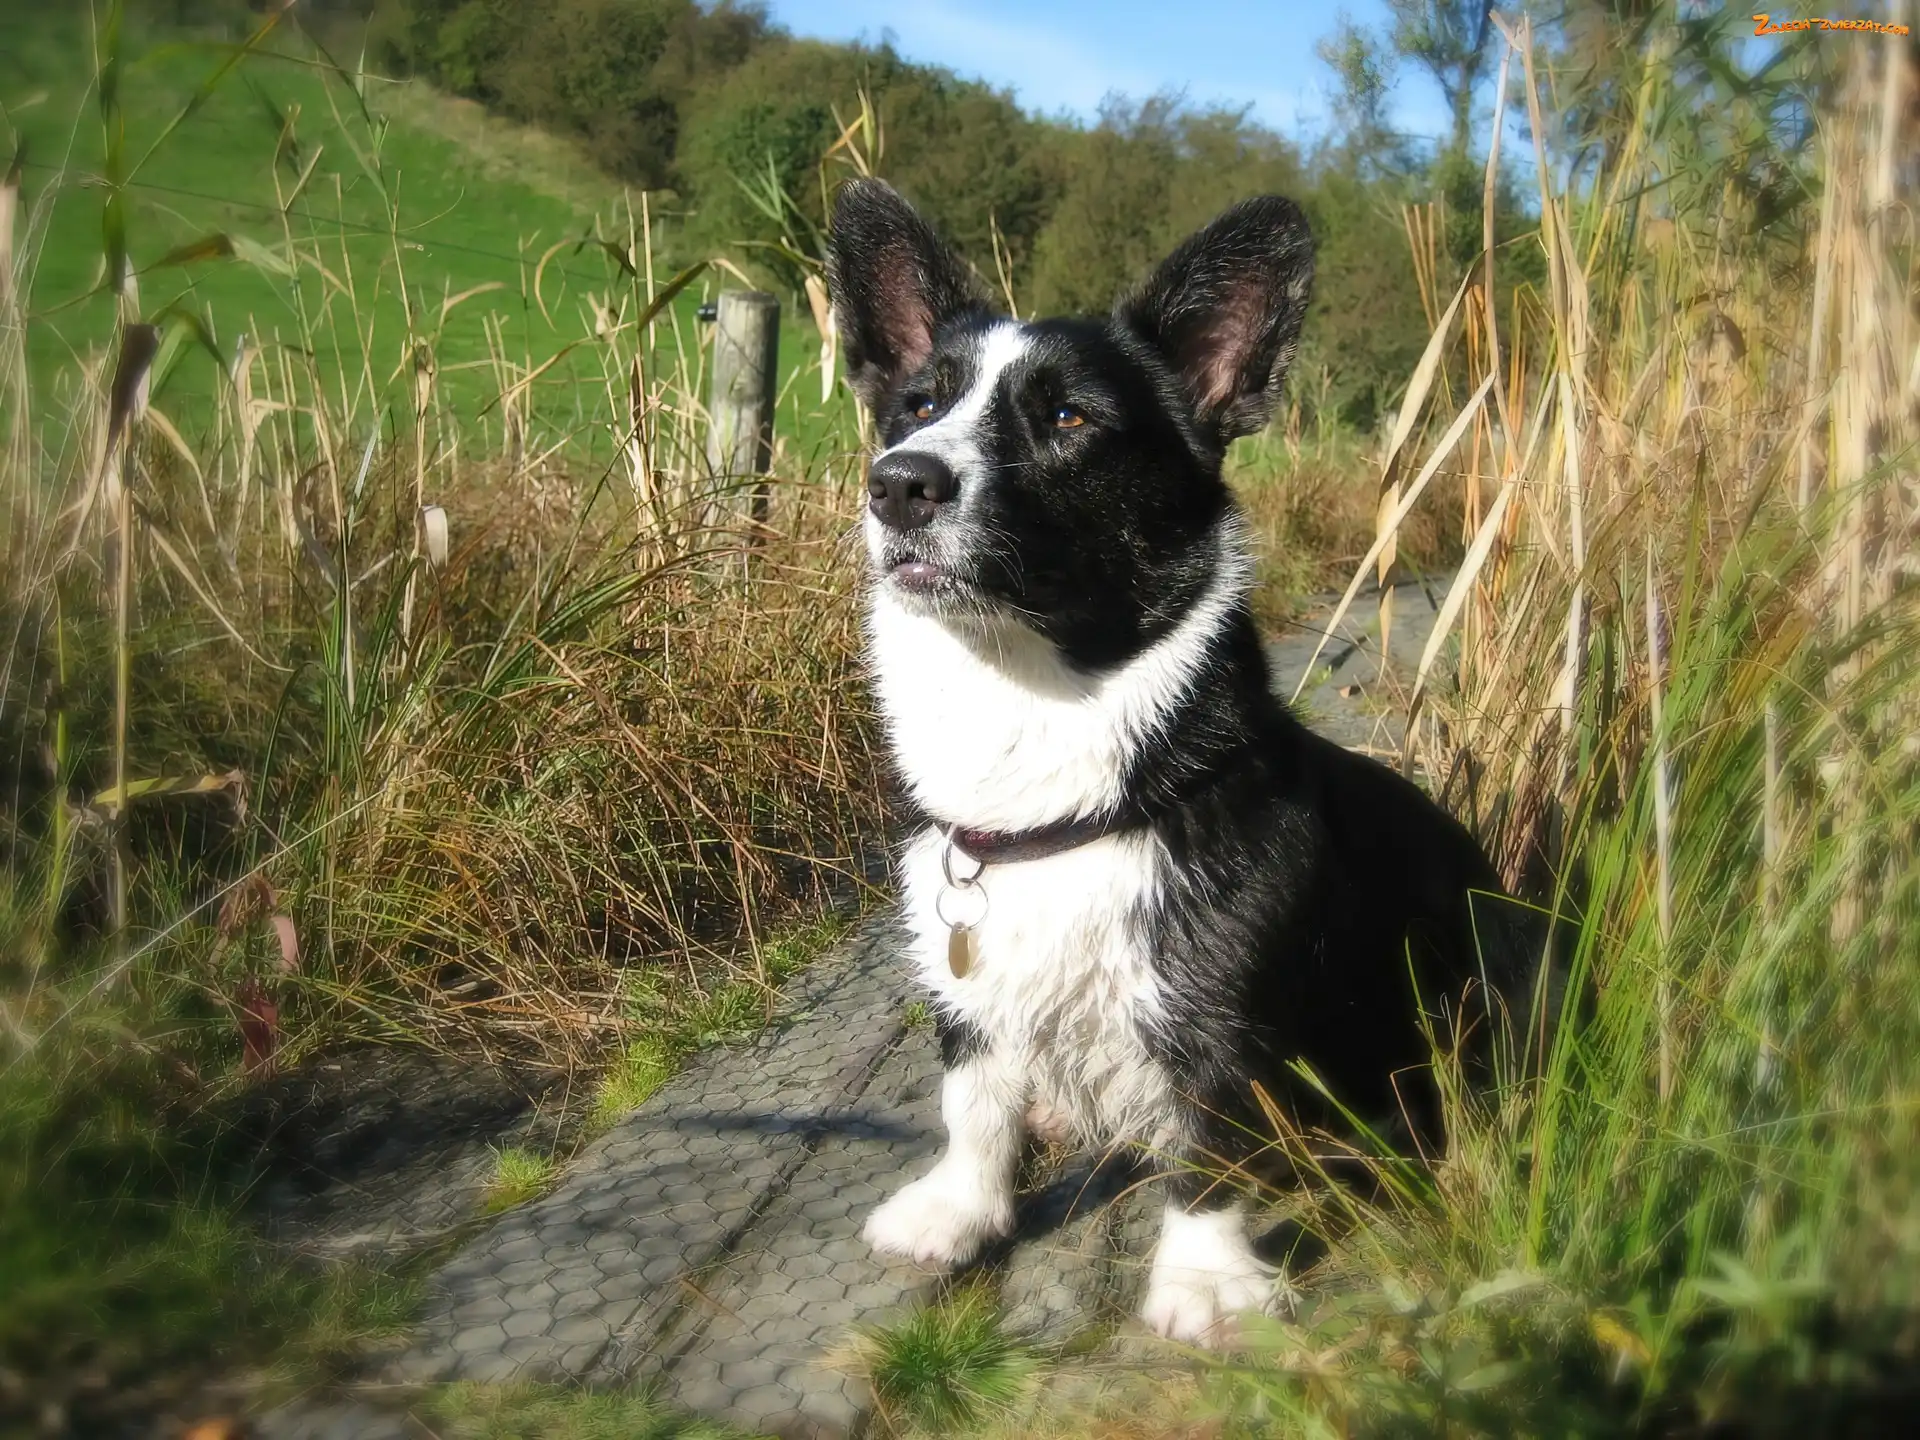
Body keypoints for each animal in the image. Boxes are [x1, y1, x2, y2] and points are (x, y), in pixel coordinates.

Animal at [827, 179, 1531, 1345]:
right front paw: (958, 1210)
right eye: (918, 406)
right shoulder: (969, 988)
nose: (899, 485)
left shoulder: (1219, 1006)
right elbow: (972, 1098)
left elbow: (1214, 1143)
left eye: (1069, 419)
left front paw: (1202, 1282)